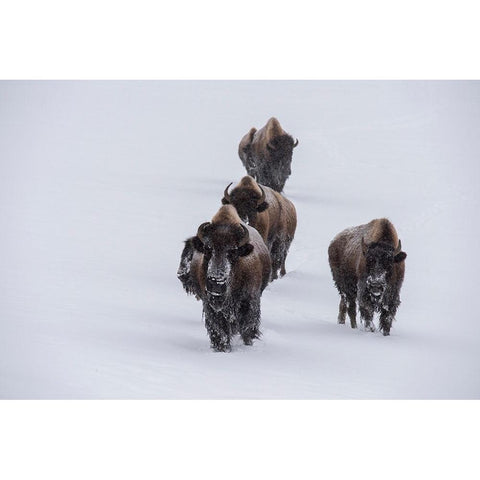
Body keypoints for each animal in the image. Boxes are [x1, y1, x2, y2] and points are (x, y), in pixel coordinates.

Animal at [177, 204, 274, 350]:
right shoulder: (210, 306)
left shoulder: (249, 301)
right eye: (207, 249)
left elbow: (247, 328)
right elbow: (219, 331)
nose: (216, 284)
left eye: (233, 251)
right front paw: (222, 348)